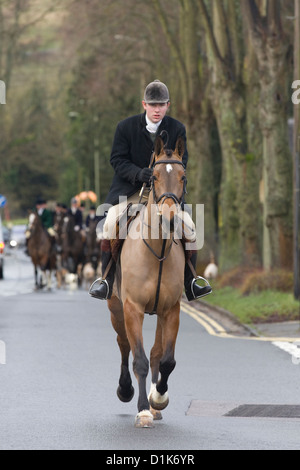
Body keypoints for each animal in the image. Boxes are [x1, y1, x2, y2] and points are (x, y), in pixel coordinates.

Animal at [107, 138, 188, 428]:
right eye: (153, 177)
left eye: (183, 176)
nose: (170, 219)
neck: (157, 248)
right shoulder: (132, 309)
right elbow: (139, 359)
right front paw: (142, 410)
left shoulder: (171, 310)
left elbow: (166, 360)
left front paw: (158, 399)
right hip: (116, 309)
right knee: (124, 345)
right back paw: (125, 390)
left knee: (155, 352)